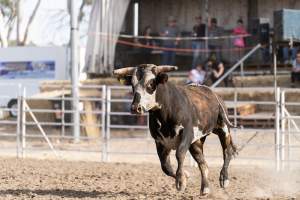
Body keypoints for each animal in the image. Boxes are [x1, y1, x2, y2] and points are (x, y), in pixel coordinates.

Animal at [113, 64, 238, 195]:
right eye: (132, 85)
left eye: (151, 83)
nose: (135, 108)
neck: (166, 112)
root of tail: (214, 94)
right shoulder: (160, 141)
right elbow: (165, 166)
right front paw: (185, 176)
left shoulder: (187, 134)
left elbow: (180, 153)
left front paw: (180, 181)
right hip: (196, 141)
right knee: (202, 162)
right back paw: (205, 188)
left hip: (223, 128)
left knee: (227, 151)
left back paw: (224, 178)